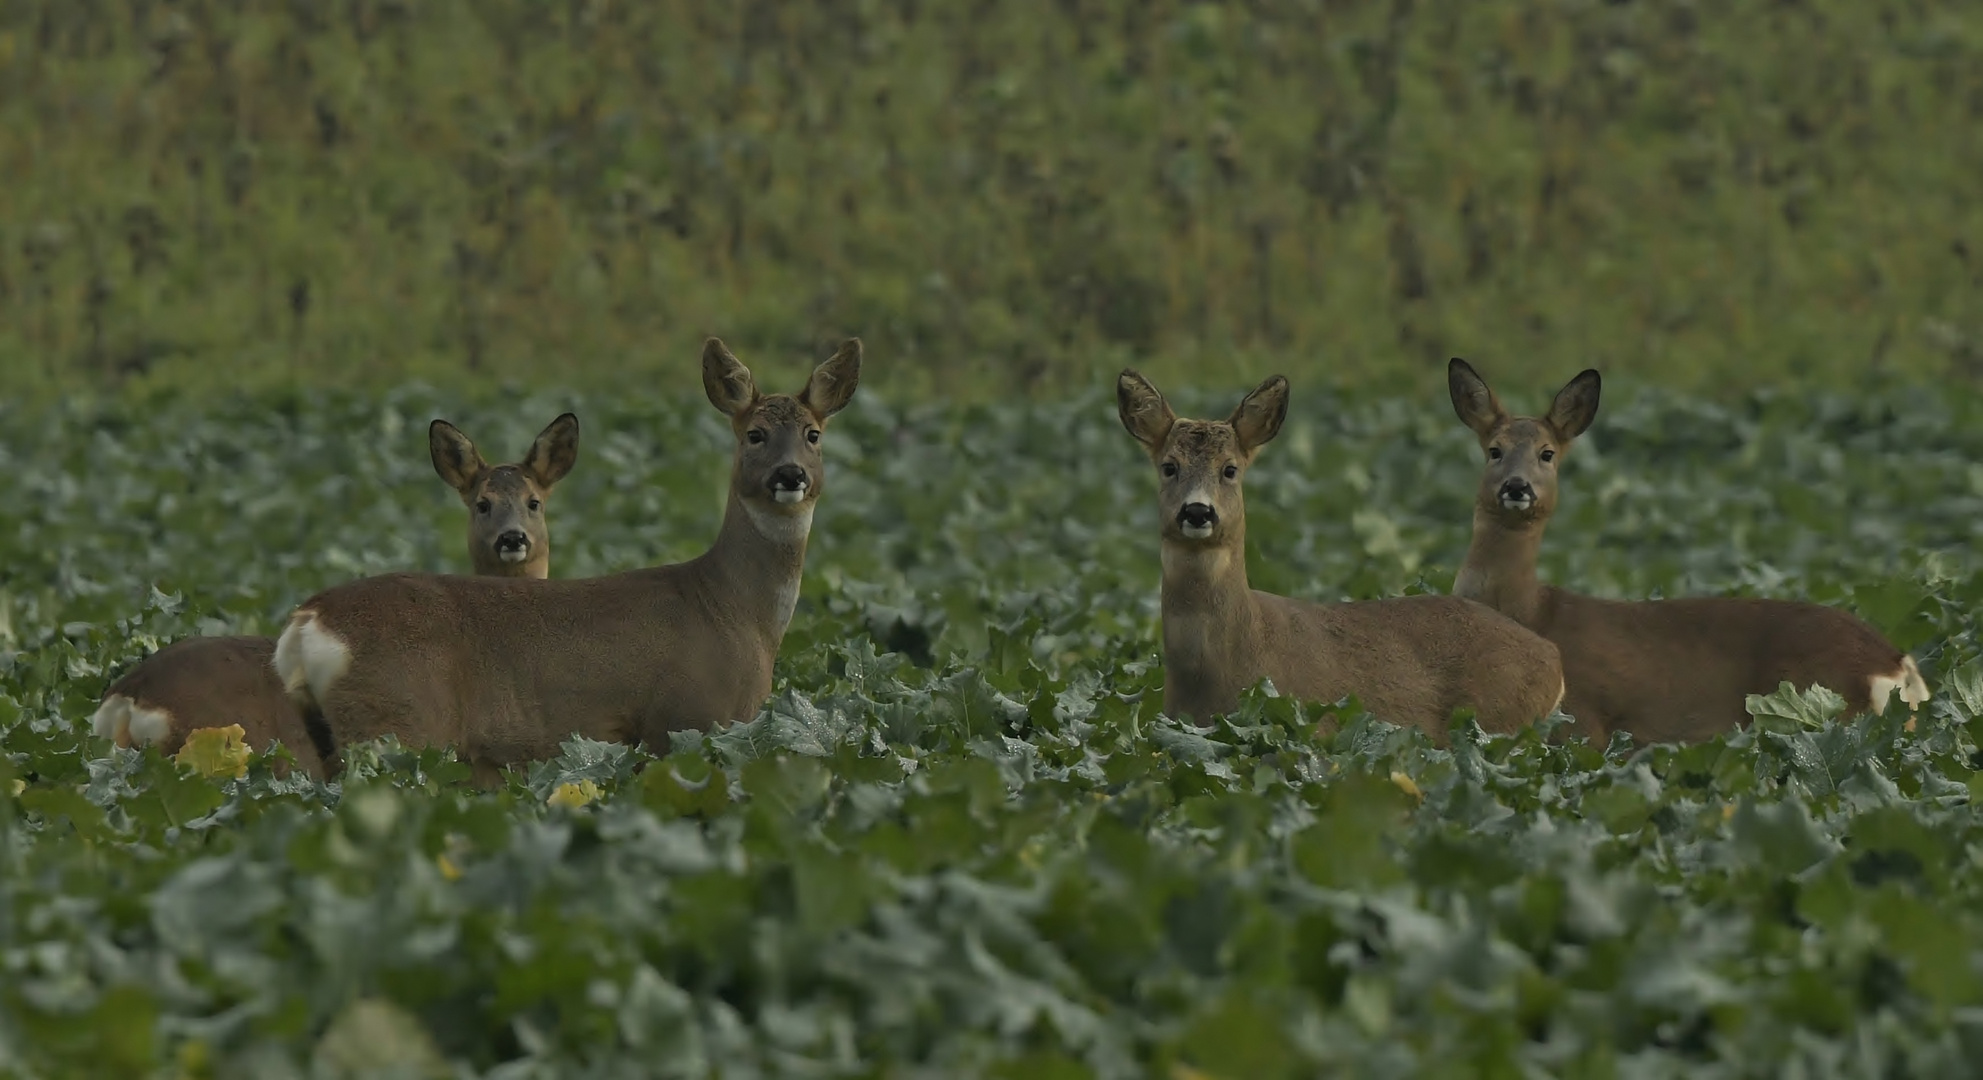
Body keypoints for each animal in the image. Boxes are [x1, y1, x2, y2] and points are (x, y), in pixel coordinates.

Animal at [273, 332, 860, 780]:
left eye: (813, 434)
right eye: (755, 434)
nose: (790, 474)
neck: (734, 611)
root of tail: (307, 621)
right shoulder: (684, 721)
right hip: (398, 725)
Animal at [1451, 358, 1927, 745]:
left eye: (1547, 453)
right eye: (1494, 450)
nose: (1517, 487)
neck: (1530, 610)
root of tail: (1898, 666)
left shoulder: (1582, 723)